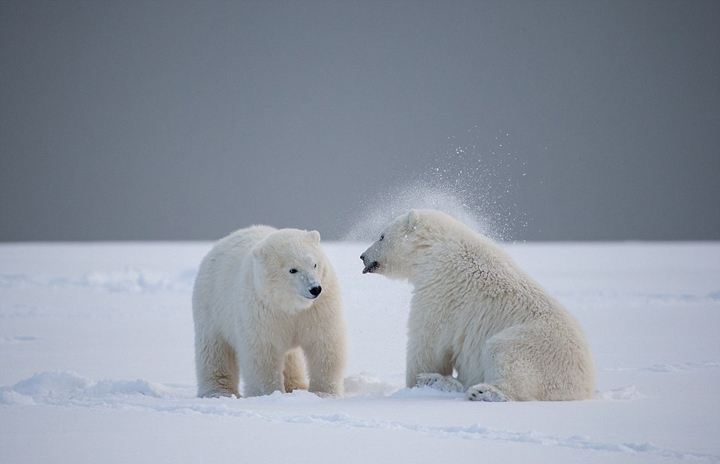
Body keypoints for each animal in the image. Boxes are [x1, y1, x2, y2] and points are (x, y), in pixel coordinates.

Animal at [194, 227, 346, 396]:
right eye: (292, 270)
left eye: (314, 264)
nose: (315, 288)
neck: (289, 305)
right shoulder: (262, 311)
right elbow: (263, 355)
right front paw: (269, 393)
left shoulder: (317, 308)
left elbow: (324, 343)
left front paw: (323, 393)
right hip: (211, 308)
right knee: (214, 350)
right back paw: (218, 391)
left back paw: (296, 385)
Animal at [362, 210, 592, 402]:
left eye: (381, 236)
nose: (363, 256)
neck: (434, 248)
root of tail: (585, 386)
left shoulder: (440, 290)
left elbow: (427, 342)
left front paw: (414, 382)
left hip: (537, 346)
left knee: (505, 354)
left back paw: (479, 391)